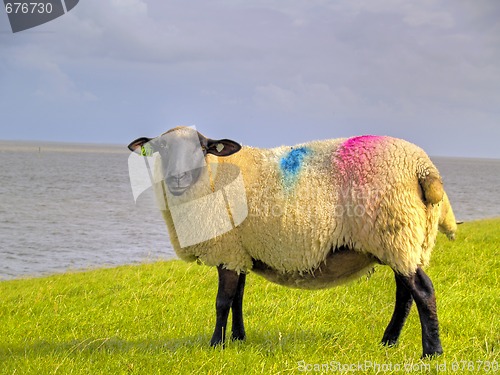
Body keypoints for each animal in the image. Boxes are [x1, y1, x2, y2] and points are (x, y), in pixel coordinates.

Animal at [128, 126, 458, 358]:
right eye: (162, 149)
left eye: (201, 148)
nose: (179, 178)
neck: (211, 176)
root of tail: (423, 168)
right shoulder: (241, 249)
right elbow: (238, 298)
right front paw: (238, 339)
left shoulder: (227, 249)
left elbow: (222, 302)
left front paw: (215, 345)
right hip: (407, 240)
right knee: (405, 294)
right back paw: (389, 341)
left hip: (395, 232)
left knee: (422, 291)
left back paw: (431, 352)